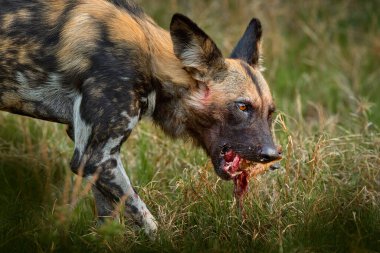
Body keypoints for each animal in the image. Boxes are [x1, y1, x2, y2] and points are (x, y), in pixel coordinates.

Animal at [0, 0, 282, 237]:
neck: (151, 60)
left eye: (270, 112)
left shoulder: (90, 152)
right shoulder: (96, 157)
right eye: (242, 107)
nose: (273, 156)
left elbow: (108, 222)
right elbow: (146, 219)